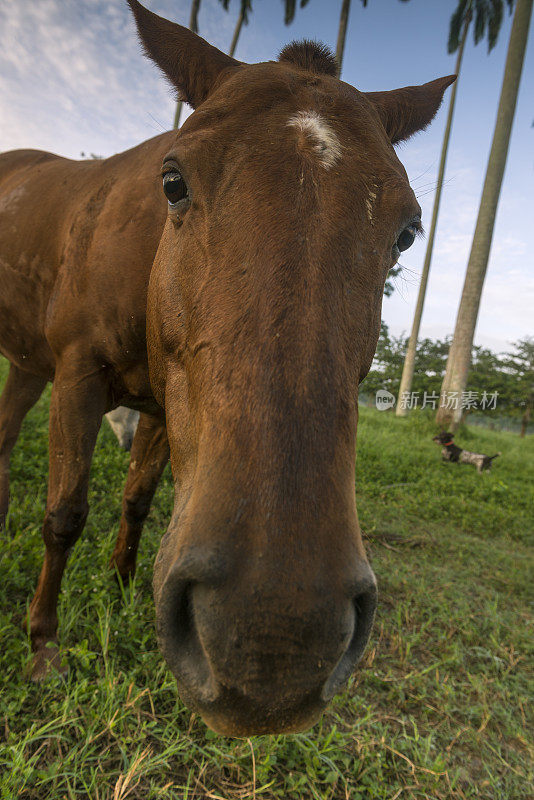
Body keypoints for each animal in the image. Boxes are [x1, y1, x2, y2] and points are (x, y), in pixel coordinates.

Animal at [0, 0, 456, 736]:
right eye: (172, 182)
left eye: (408, 232)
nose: (275, 642)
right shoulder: (79, 377)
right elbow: (64, 513)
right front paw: (43, 643)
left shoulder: (160, 406)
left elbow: (136, 499)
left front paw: (121, 587)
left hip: (26, 362)